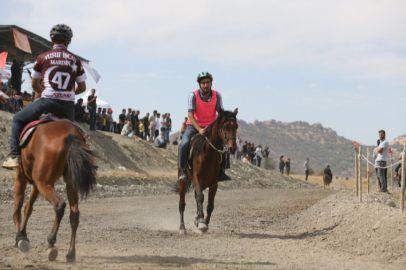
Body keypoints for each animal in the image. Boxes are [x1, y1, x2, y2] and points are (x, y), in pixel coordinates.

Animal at [12, 120, 96, 262]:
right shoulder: (36, 184)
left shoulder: (21, 175)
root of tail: (70, 134)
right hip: (68, 183)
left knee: (59, 205)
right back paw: (70, 253)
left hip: (43, 182)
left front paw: (19, 238)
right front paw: (23, 234)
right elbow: (28, 208)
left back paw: (51, 242)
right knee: (74, 214)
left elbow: (18, 207)